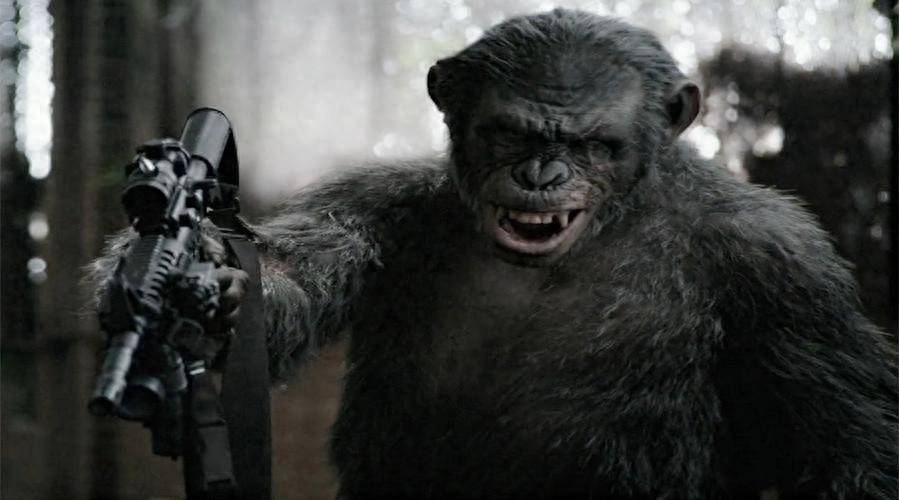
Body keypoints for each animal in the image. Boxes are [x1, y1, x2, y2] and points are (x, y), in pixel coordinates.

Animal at [89, 9, 897, 499]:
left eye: (590, 143)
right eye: (510, 133)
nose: (541, 174)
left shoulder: (784, 270)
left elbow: (857, 440)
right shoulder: (368, 206)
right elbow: (291, 282)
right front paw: (197, 283)